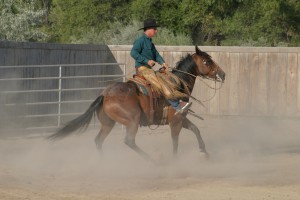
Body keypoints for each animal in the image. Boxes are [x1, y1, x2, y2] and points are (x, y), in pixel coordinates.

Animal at [47, 46, 225, 160]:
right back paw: (151, 160)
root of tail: (105, 95)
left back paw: (104, 162)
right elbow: (175, 141)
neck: (178, 84)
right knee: (129, 141)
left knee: (99, 140)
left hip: (108, 123)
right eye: (207, 62)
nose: (222, 74)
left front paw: (204, 151)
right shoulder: (175, 121)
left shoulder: (181, 118)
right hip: (132, 120)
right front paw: (175, 160)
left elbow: (195, 129)